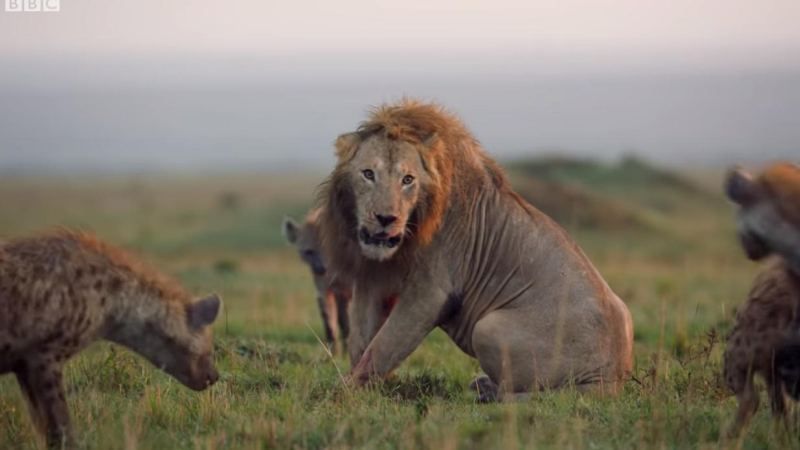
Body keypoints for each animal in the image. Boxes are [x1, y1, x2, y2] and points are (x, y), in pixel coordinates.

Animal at [283, 207, 351, 355]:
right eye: (309, 251)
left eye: (331, 248)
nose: (322, 268)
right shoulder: (325, 289)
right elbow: (330, 321)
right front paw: (334, 354)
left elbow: (348, 322)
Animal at [317, 99, 634, 401]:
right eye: (368, 174)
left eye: (408, 180)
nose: (386, 219)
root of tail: (611, 379)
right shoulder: (371, 281)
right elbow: (361, 341)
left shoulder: (431, 291)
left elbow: (383, 345)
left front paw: (344, 389)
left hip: (488, 328)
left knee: (534, 394)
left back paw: (485, 392)